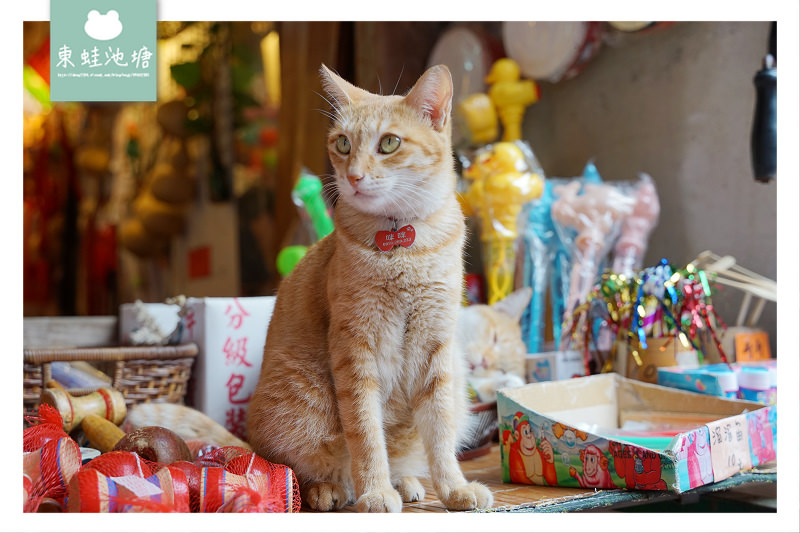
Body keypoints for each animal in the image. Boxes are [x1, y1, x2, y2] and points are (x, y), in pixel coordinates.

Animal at [245, 63, 494, 512]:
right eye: (343, 144)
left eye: (389, 143)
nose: (354, 176)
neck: (403, 245)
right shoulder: (356, 350)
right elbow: (365, 435)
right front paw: (374, 491)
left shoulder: (437, 351)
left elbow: (440, 435)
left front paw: (452, 488)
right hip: (297, 401)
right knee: (306, 468)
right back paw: (331, 490)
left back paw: (405, 482)